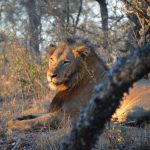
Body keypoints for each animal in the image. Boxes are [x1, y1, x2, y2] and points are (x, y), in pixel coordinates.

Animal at [6, 37, 150, 129]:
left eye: (66, 62)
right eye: (51, 59)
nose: (51, 75)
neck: (71, 84)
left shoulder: (68, 117)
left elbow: (37, 121)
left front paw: (12, 125)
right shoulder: (56, 109)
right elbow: (32, 115)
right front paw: (16, 119)